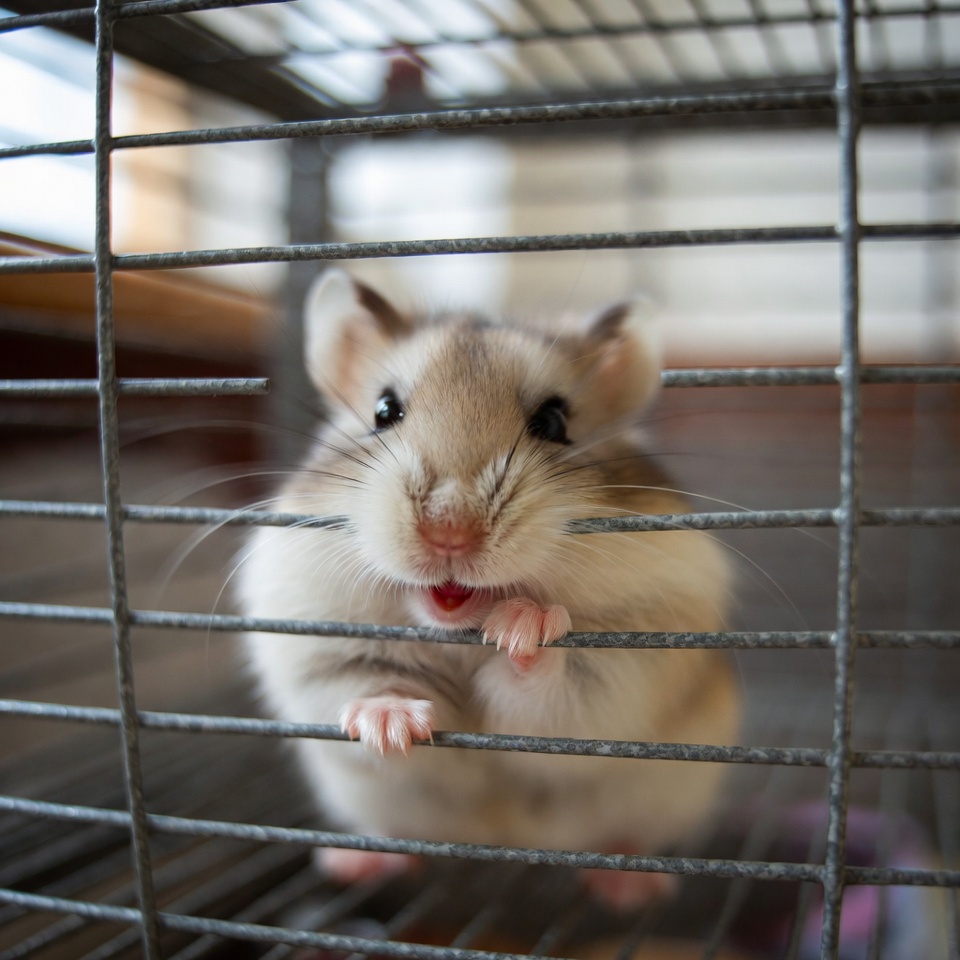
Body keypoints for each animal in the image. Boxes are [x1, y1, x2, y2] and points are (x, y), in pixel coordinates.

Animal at [238, 270, 740, 908]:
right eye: (384, 410)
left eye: (553, 422)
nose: (449, 532)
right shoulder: (317, 650)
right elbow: (365, 685)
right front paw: (393, 727)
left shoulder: (625, 666)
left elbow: (555, 690)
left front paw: (524, 625)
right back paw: (353, 863)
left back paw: (629, 884)